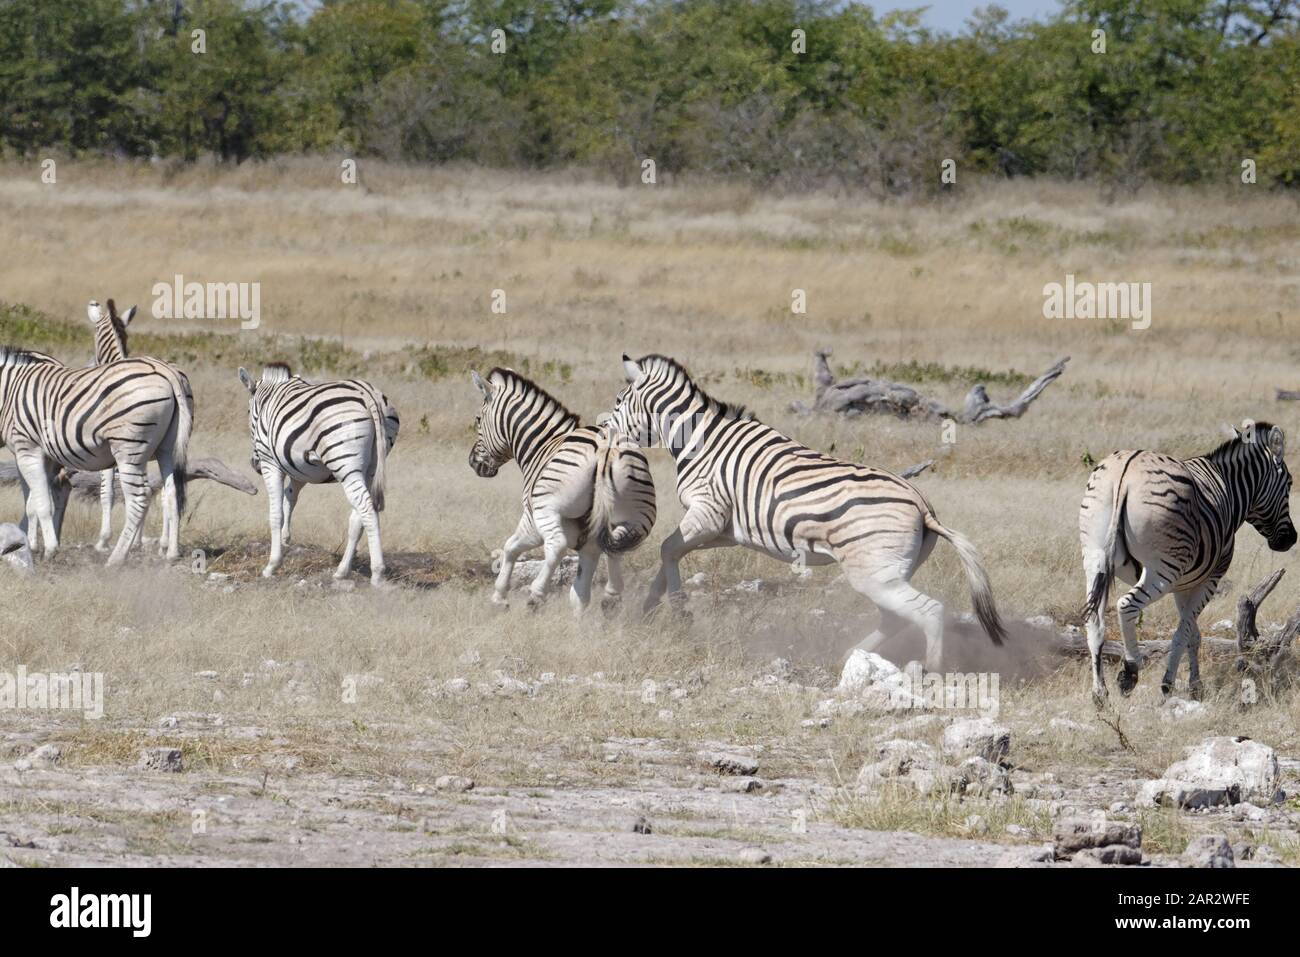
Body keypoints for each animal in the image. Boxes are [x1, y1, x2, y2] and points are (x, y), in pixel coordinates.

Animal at [0, 343, 192, 564]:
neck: (8, 391)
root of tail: (165, 369)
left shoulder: (27, 448)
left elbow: (42, 503)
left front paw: (48, 550)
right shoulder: (43, 456)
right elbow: (33, 502)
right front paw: (26, 545)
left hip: (129, 448)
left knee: (139, 498)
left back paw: (116, 558)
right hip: (166, 448)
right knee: (171, 493)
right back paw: (171, 553)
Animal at [233, 361, 395, 582]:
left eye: (248, 412)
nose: (254, 463)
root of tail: (369, 394)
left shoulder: (270, 462)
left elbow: (276, 512)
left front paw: (272, 565)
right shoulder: (299, 466)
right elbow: (289, 497)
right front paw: (285, 539)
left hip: (345, 463)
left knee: (366, 509)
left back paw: (377, 574)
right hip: (370, 467)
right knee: (357, 517)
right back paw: (342, 571)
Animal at [467, 366, 655, 613]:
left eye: (478, 420)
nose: (472, 462)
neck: (543, 444)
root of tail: (605, 451)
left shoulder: (532, 518)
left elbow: (510, 547)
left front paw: (499, 597)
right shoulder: (587, 537)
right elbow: (581, 591)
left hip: (548, 510)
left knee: (556, 546)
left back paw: (536, 594)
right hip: (639, 516)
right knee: (616, 544)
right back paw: (611, 597)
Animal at [605, 351, 1003, 670]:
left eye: (619, 401)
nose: (604, 432)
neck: (699, 440)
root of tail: (922, 505)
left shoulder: (708, 513)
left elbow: (668, 548)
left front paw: (679, 609)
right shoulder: (726, 531)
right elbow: (670, 551)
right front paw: (651, 606)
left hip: (874, 574)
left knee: (929, 612)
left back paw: (930, 671)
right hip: (888, 572)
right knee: (896, 619)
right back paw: (849, 656)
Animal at [1081, 426, 1294, 702]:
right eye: (1289, 484)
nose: (1291, 539)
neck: (1228, 487)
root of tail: (1123, 472)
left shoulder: (1183, 584)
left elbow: (1193, 633)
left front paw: (1196, 685)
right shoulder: (1209, 579)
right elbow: (1182, 633)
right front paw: (1168, 684)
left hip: (1094, 558)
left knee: (1093, 620)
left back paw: (1100, 694)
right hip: (1162, 569)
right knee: (1126, 606)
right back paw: (1130, 671)